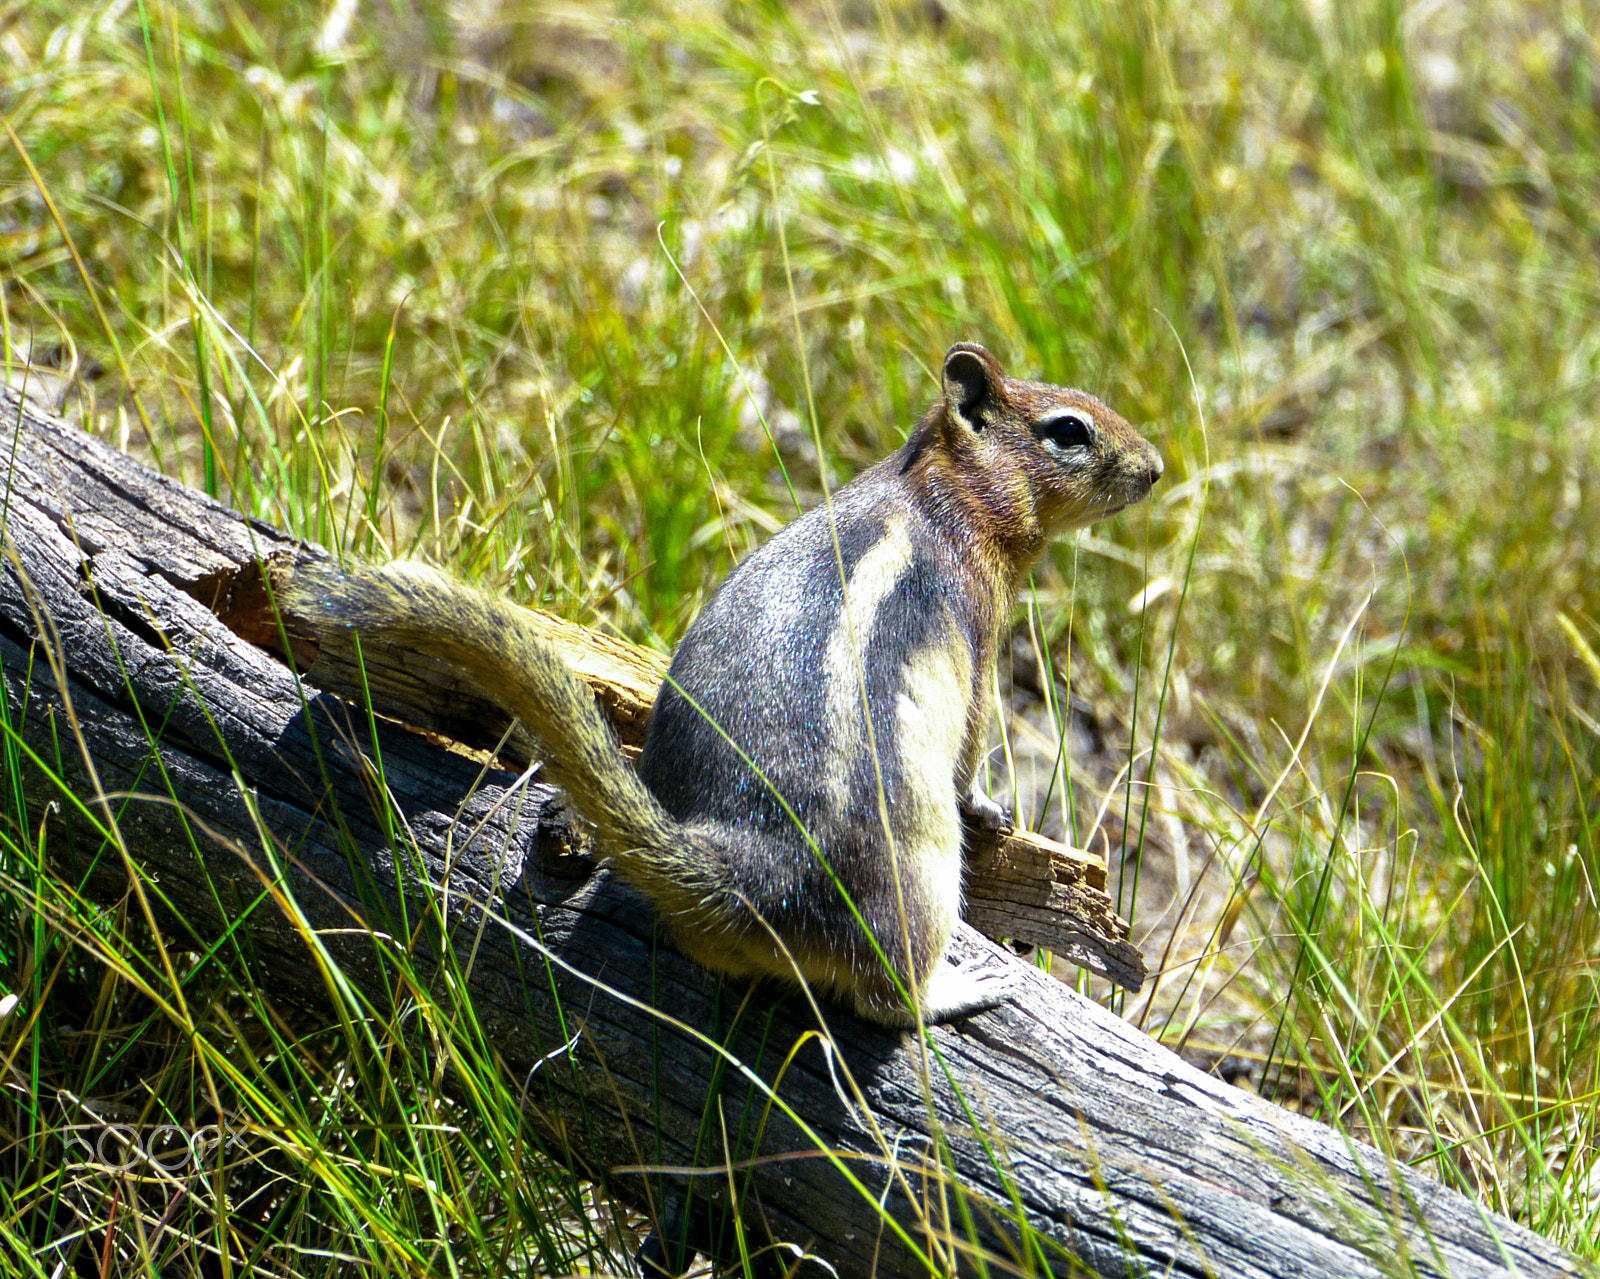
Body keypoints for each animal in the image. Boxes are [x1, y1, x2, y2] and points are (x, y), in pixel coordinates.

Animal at [289, 343, 1162, 1026]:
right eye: (1069, 430)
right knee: (884, 997)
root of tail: (741, 865)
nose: (1155, 469)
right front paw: (991, 805)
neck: (938, 490)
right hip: (919, 874)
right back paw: (958, 986)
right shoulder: (979, 632)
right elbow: (976, 740)